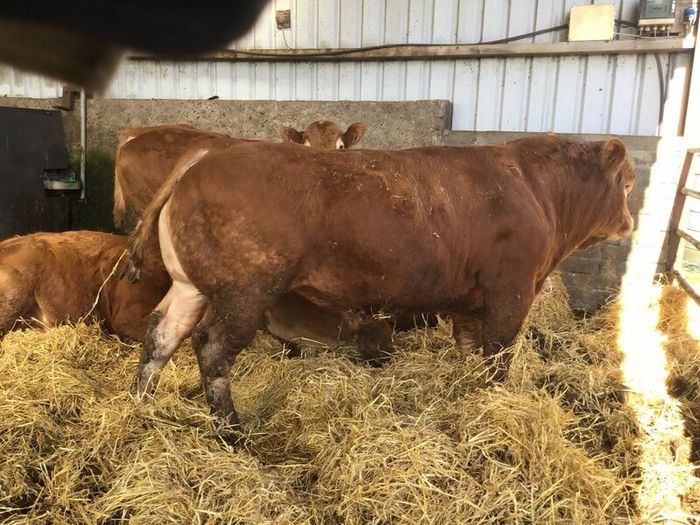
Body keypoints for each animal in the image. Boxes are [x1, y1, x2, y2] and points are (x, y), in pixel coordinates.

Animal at [126, 134, 635, 441]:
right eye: (629, 184)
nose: (631, 222)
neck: (535, 190)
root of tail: (208, 154)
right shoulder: (511, 293)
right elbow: (497, 357)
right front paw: (496, 403)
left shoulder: (471, 303)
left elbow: (470, 350)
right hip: (244, 292)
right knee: (211, 346)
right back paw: (232, 430)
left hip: (190, 285)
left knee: (162, 333)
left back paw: (139, 402)